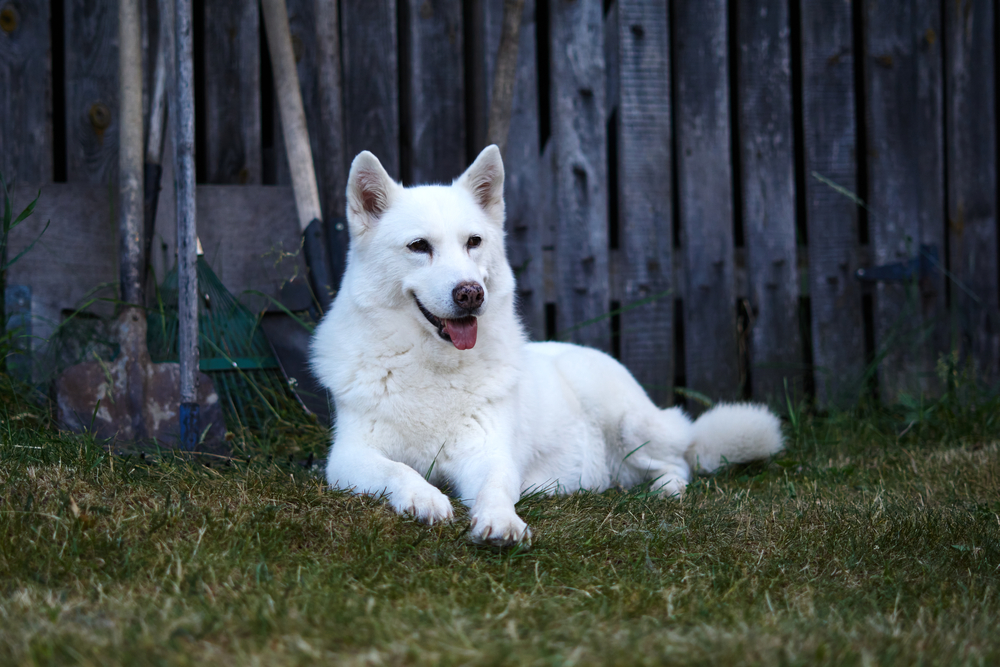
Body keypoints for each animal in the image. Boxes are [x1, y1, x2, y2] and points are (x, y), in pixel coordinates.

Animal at [308, 144, 784, 544]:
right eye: (418, 246)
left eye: (473, 242)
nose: (471, 294)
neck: (433, 366)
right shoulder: (348, 458)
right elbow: (400, 471)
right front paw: (423, 498)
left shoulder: (490, 454)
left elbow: (496, 489)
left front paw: (500, 521)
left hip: (629, 423)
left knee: (679, 462)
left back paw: (666, 490)